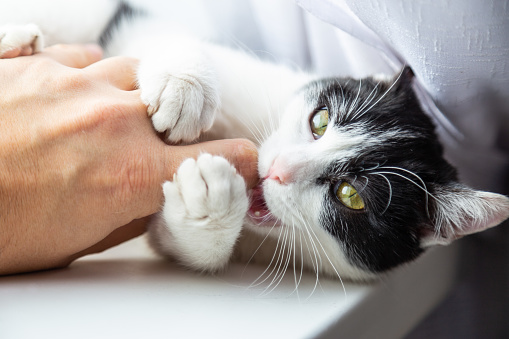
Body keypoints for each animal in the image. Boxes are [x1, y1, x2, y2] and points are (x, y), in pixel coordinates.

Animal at [1, 0, 506, 282]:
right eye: (320, 120)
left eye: (351, 196)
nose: (278, 168)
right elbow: (164, 34)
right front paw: (185, 84)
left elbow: (175, 243)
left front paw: (208, 204)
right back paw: (17, 39)